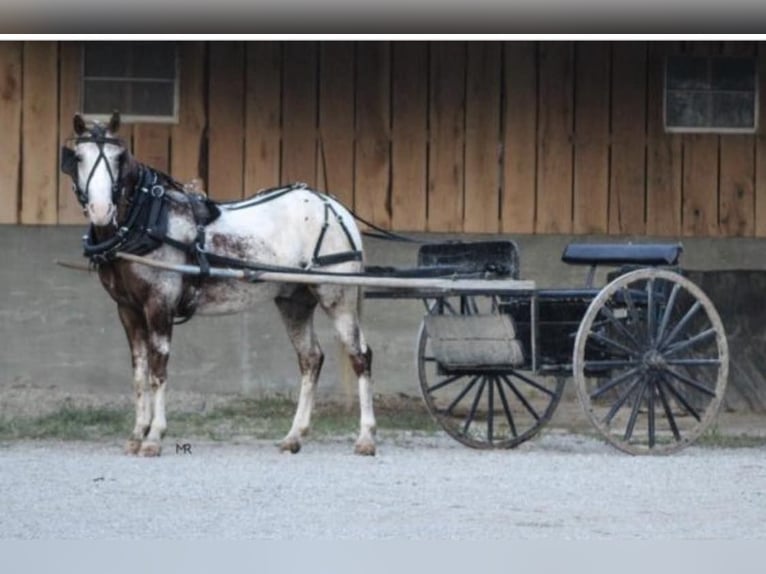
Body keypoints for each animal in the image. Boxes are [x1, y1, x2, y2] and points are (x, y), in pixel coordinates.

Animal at [62, 112, 378, 460]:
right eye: (78, 157)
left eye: (118, 158)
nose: (101, 210)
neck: (146, 221)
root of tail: (333, 206)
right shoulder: (128, 309)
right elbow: (139, 373)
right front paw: (136, 435)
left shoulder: (159, 304)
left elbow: (158, 369)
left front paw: (154, 436)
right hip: (294, 301)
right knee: (310, 360)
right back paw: (294, 436)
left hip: (338, 298)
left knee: (360, 356)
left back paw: (366, 438)